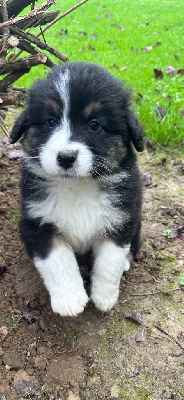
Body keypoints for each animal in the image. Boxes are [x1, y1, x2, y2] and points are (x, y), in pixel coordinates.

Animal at [10, 61, 144, 316]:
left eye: (94, 125)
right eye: (50, 121)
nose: (66, 157)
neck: (77, 188)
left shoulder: (121, 218)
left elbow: (110, 260)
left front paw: (104, 298)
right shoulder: (38, 222)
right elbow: (58, 260)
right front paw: (70, 301)